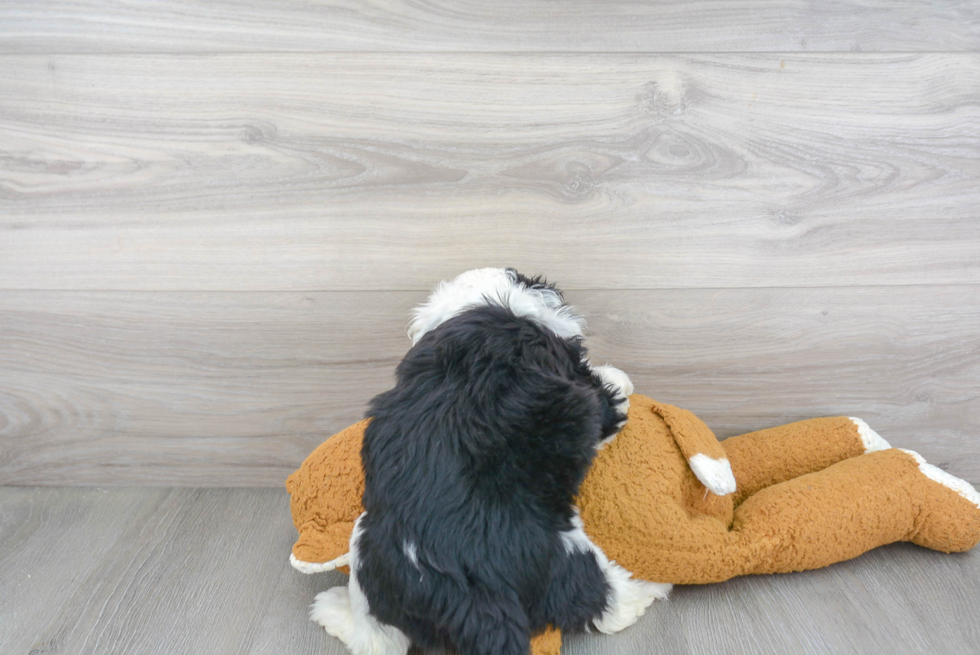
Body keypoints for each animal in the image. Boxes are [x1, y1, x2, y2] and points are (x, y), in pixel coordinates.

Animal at [310, 268, 668, 655]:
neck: (478, 307)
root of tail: (472, 599)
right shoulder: (582, 388)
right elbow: (606, 402)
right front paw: (619, 380)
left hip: (368, 549)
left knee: (377, 638)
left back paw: (332, 611)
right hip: (564, 558)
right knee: (601, 602)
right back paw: (650, 587)